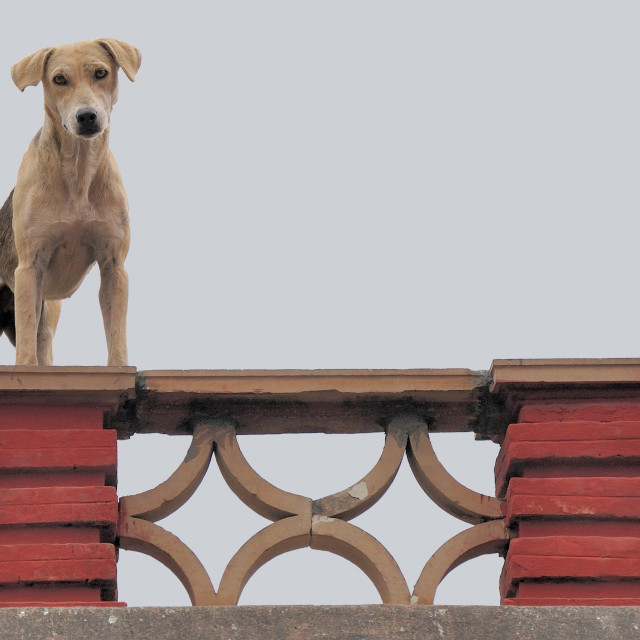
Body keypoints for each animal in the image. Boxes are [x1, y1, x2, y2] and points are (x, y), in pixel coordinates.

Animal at [0, 40, 141, 368]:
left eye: (101, 73)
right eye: (59, 79)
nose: (86, 116)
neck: (78, 170)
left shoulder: (114, 264)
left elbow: (116, 330)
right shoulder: (29, 268)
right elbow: (26, 345)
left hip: (48, 311)